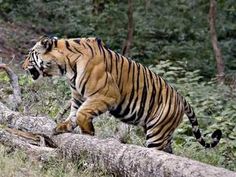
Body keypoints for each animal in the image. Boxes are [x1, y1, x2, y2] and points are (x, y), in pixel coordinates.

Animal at [21, 35, 221, 153]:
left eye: (30, 55)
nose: (22, 67)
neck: (66, 66)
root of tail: (181, 97)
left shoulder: (107, 95)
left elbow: (82, 113)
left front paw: (88, 132)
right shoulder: (78, 96)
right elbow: (74, 113)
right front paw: (63, 127)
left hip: (157, 133)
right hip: (163, 133)